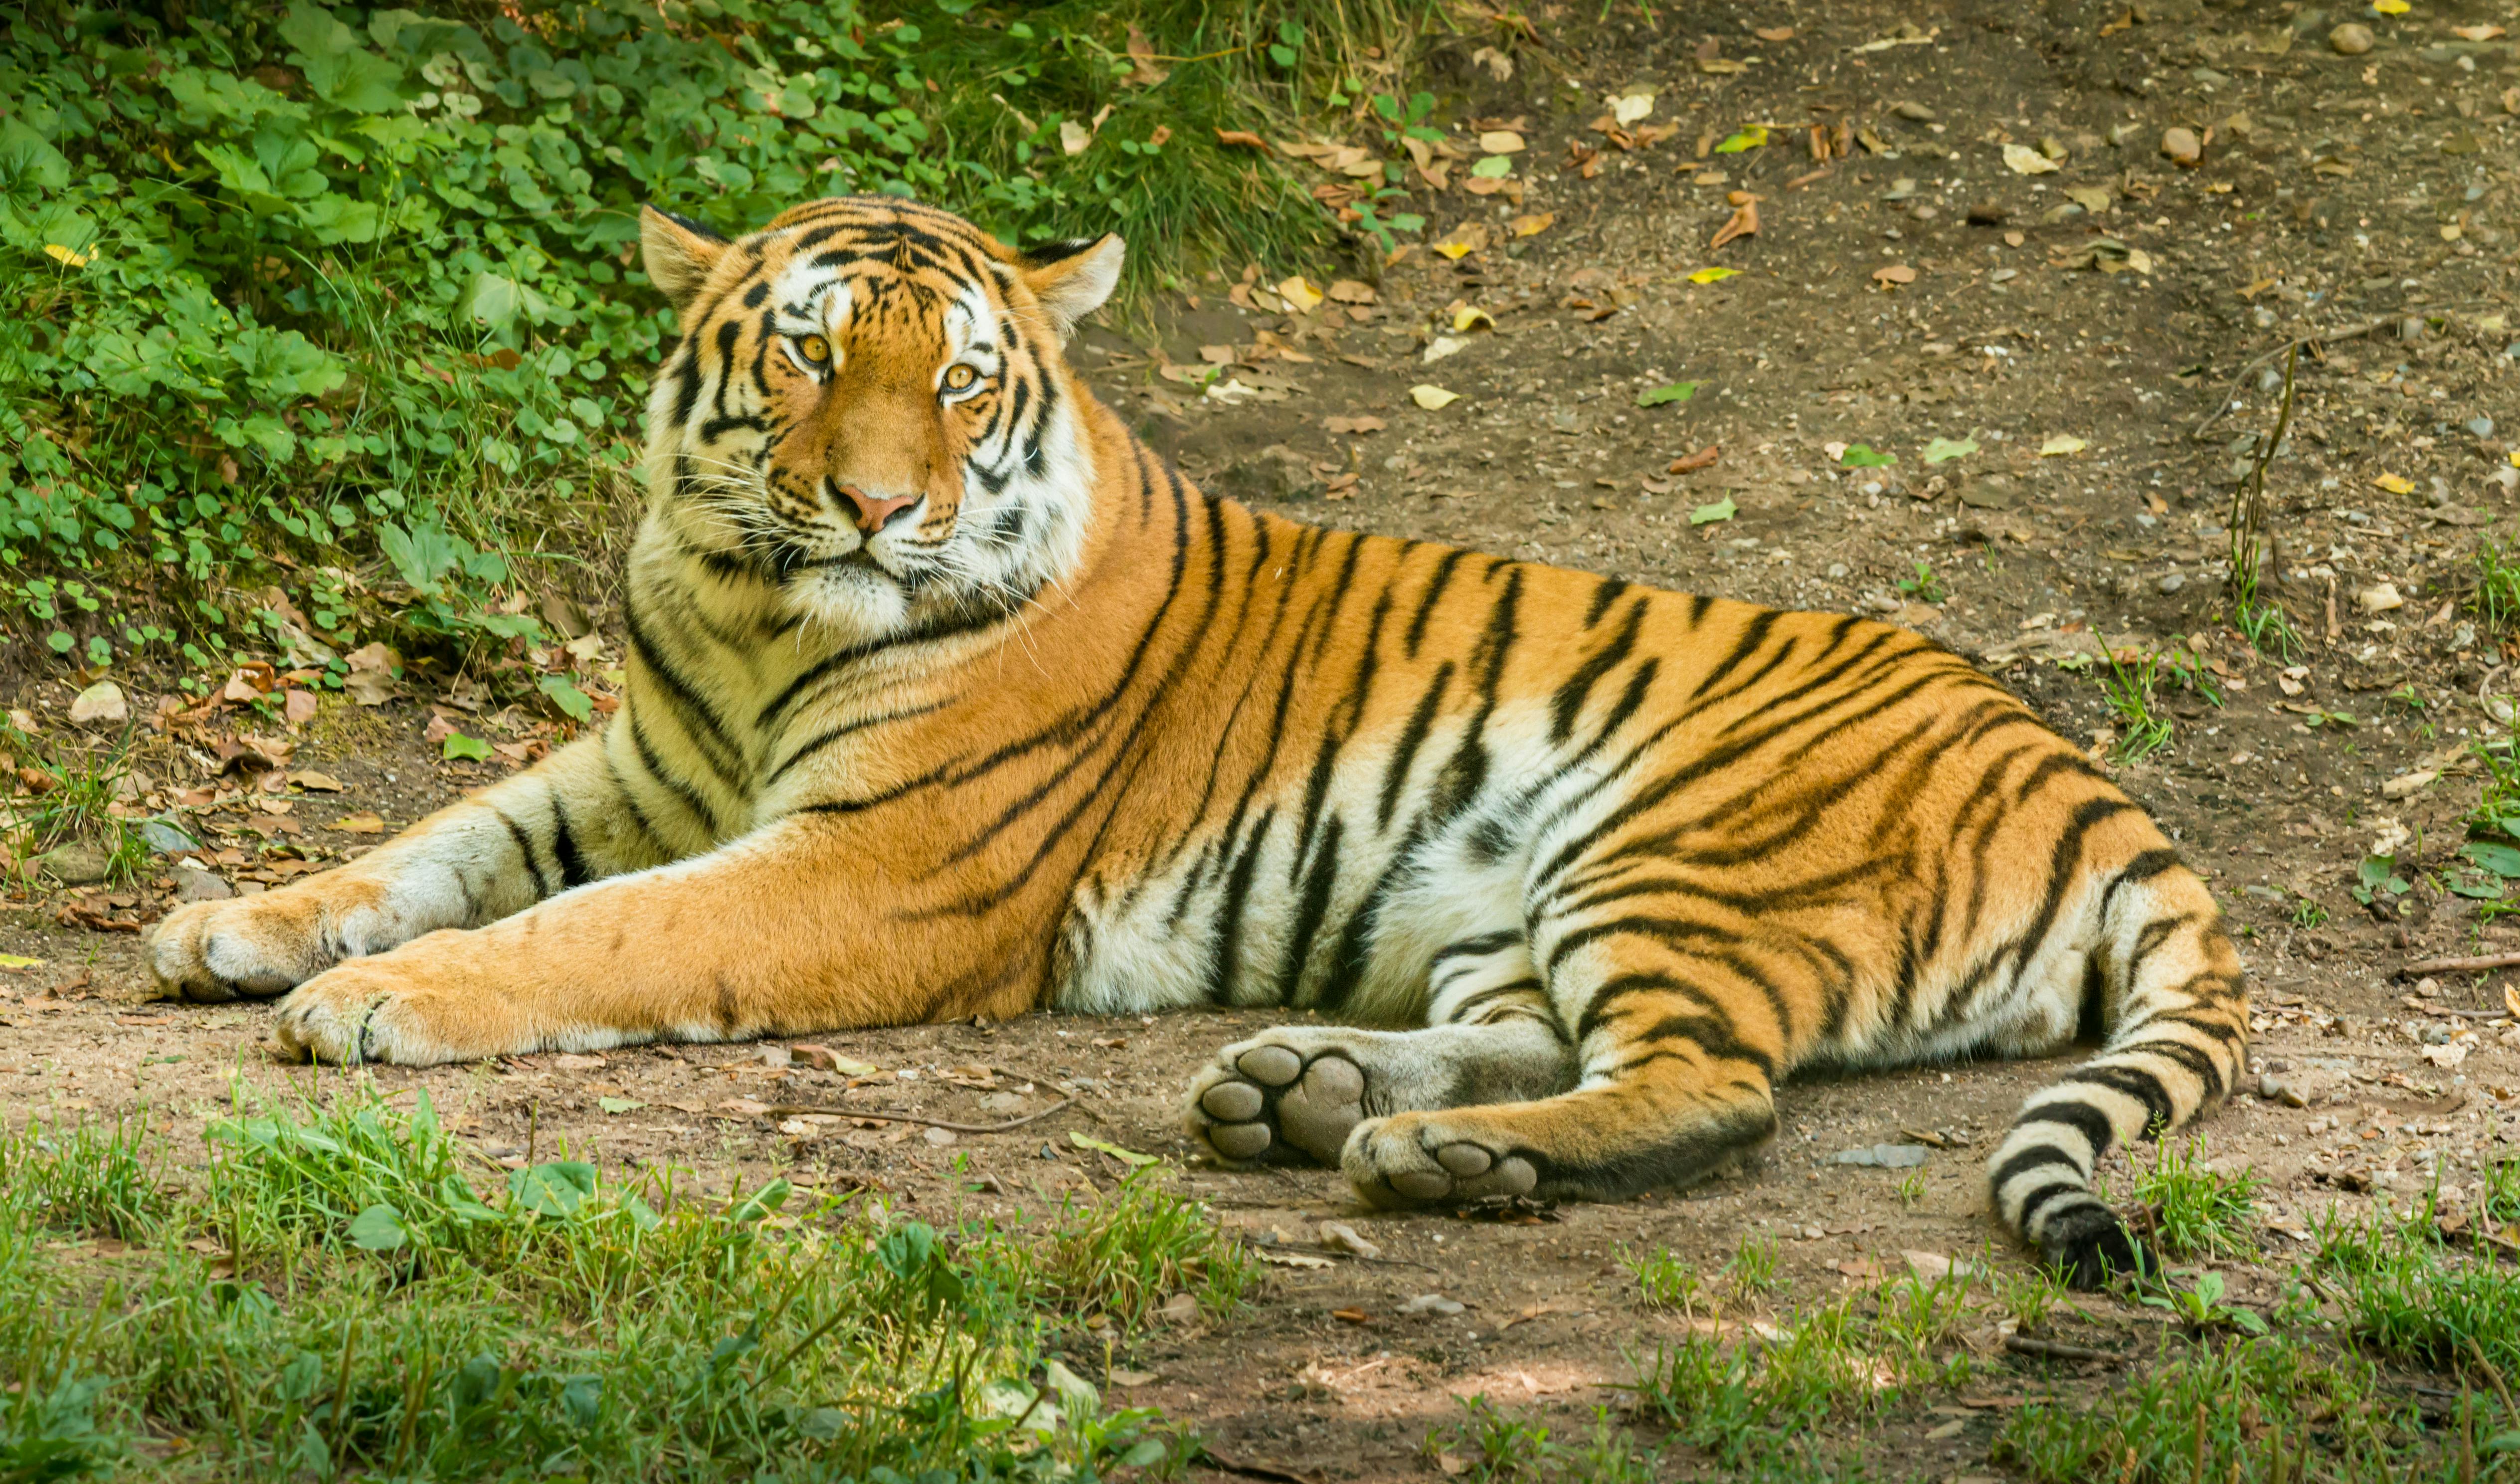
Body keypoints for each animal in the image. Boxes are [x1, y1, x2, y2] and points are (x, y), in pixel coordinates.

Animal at [147, 196, 2258, 1285]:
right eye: (811, 354)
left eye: (959, 381)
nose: (879, 509)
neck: (756, 611)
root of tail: (2091, 776)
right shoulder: (642, 768)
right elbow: (442, 843)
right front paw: (234, 922)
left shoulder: (871, 864)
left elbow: (594, 930)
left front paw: (373, 1004)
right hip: (1510, 894)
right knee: (1547, 1035)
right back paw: (1307, 1095)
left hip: (1670, 837)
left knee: (1715, 1088)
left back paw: (1416, 1160)